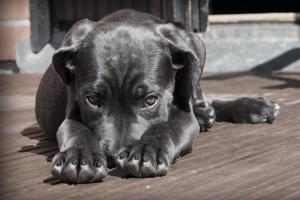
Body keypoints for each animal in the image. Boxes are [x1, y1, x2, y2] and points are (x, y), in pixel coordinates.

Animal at [35, 10, 282, 184]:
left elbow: (167, 127)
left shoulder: (183, 114)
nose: (114, 156)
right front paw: (79, 156)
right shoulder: (72, 111)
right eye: (93, 100)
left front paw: (147, 150)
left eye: (150, 100)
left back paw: (251, 106)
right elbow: (76, 130)